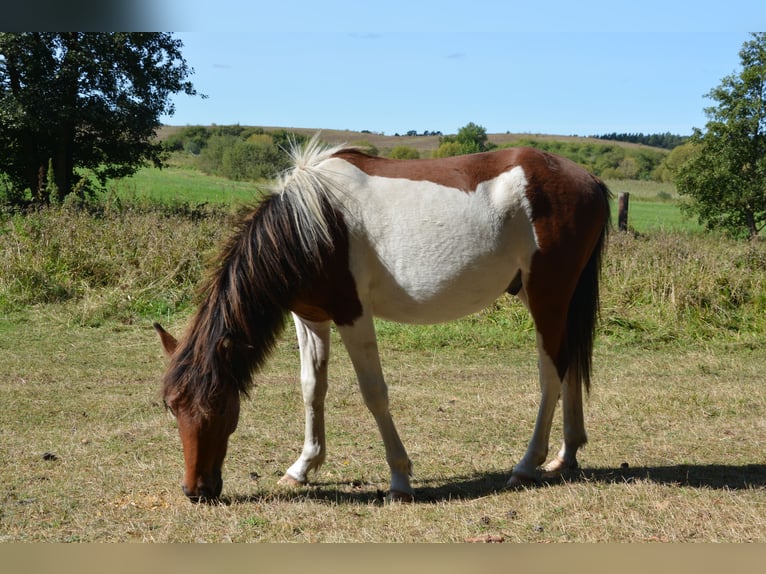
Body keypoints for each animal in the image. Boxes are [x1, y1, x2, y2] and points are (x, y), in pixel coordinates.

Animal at [154, 136, 612, 504]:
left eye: (219, 407)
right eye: (172, 407)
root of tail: (589, 179)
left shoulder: (353, 315)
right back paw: (567, 455)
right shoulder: (310, 318)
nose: (195, 491)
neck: (310, 226)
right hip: (558, 299)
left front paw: (400, 479)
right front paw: (302, 467)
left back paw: (526, 464)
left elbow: (374, 394)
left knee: (551, 373)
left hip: (547, 297)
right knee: (569, 364)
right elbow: (311, 389)